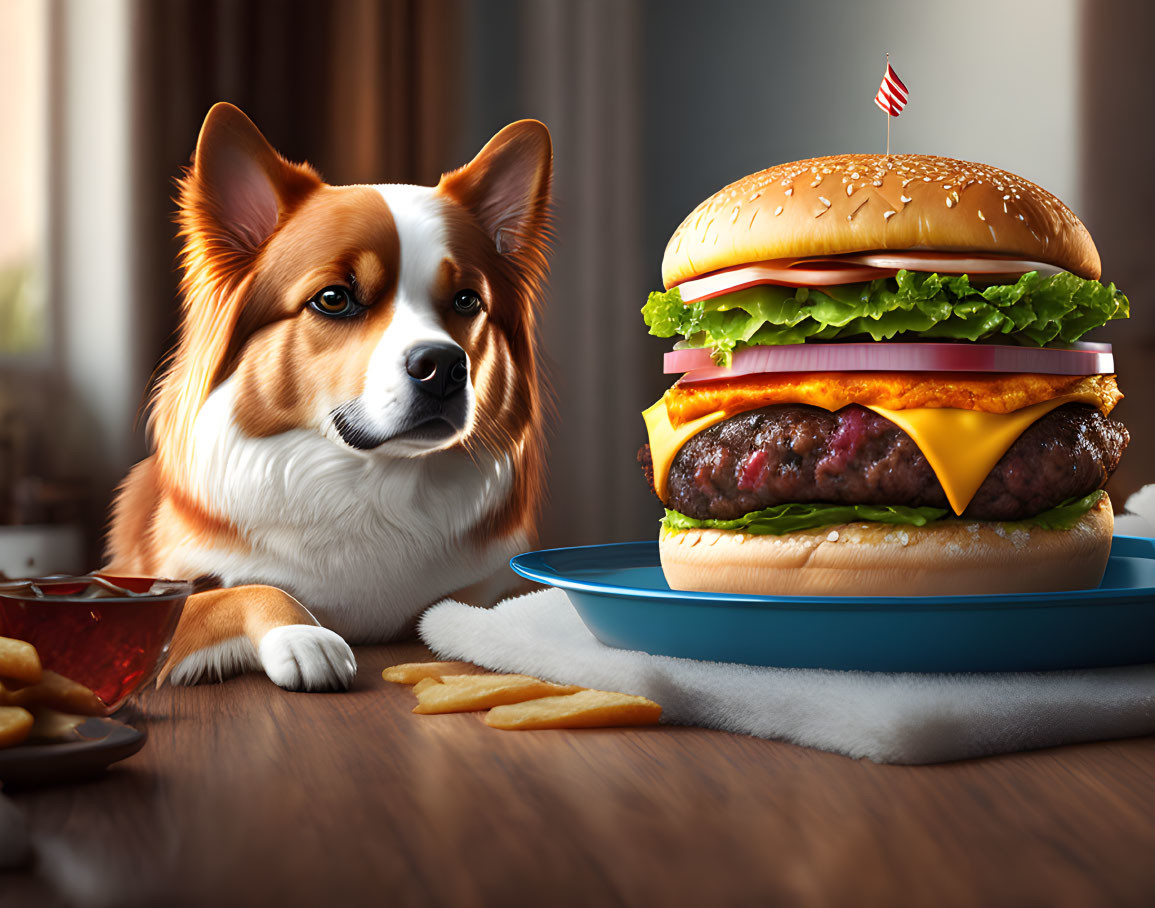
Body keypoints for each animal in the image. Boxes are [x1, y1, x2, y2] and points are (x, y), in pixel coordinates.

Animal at [108, 102, 554, 688]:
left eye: (466, 300)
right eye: (334, 299)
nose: (443, 368)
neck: (370, 482)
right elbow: (249, 590)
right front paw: (304, 635)